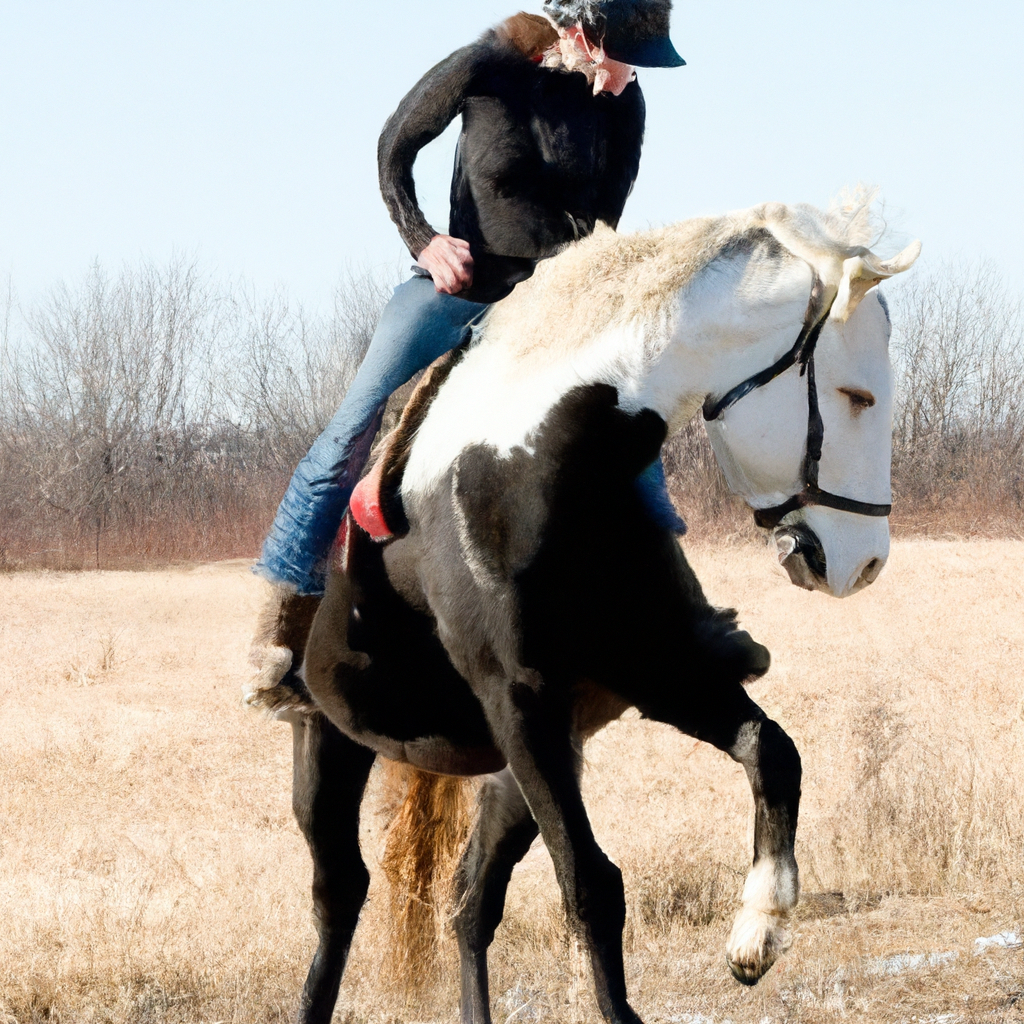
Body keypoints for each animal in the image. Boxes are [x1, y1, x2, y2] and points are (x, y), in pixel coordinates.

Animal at [274, 199, 921, 1024]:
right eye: (857, 397)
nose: (863, 561)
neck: (530, 466)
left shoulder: (653, 674)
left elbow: (773, 752)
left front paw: (758, 932)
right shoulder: (521, 701)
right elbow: (590, 885)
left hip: (516, 770)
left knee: (469, 902)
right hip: (330, 738)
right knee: (340, 895)